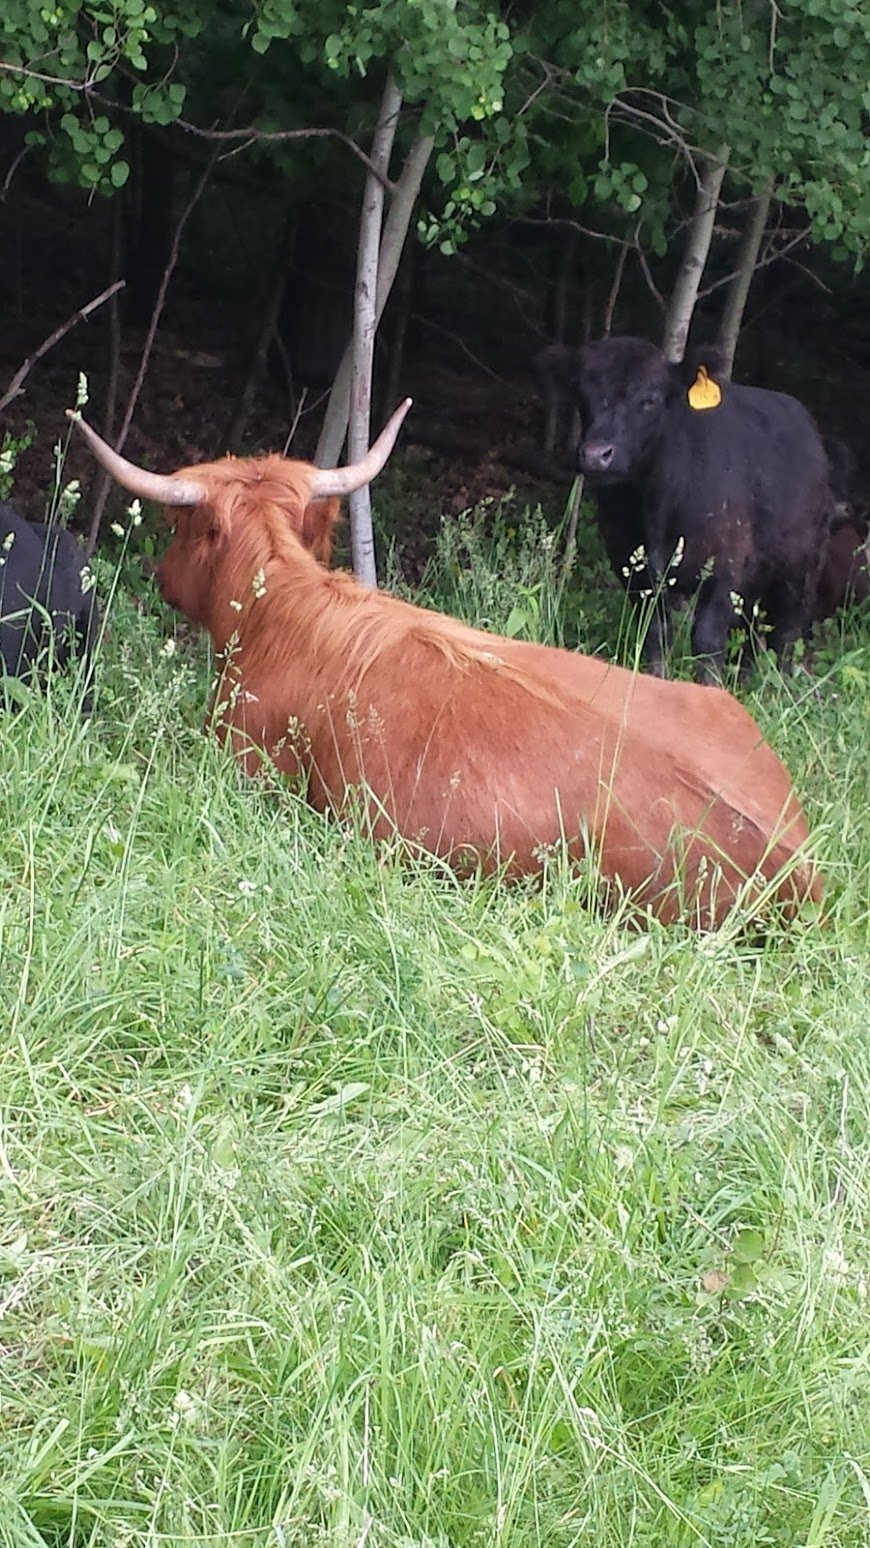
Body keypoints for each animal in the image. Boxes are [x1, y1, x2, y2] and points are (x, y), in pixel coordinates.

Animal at [536, 337, 836, 680]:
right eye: (582, 395)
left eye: (650, 399)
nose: (596, 454)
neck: (655, 510)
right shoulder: (635, 571)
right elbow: (655, 635)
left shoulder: (723, 571)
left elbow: (707, 642)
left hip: (801, 569)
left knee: (784, 631)